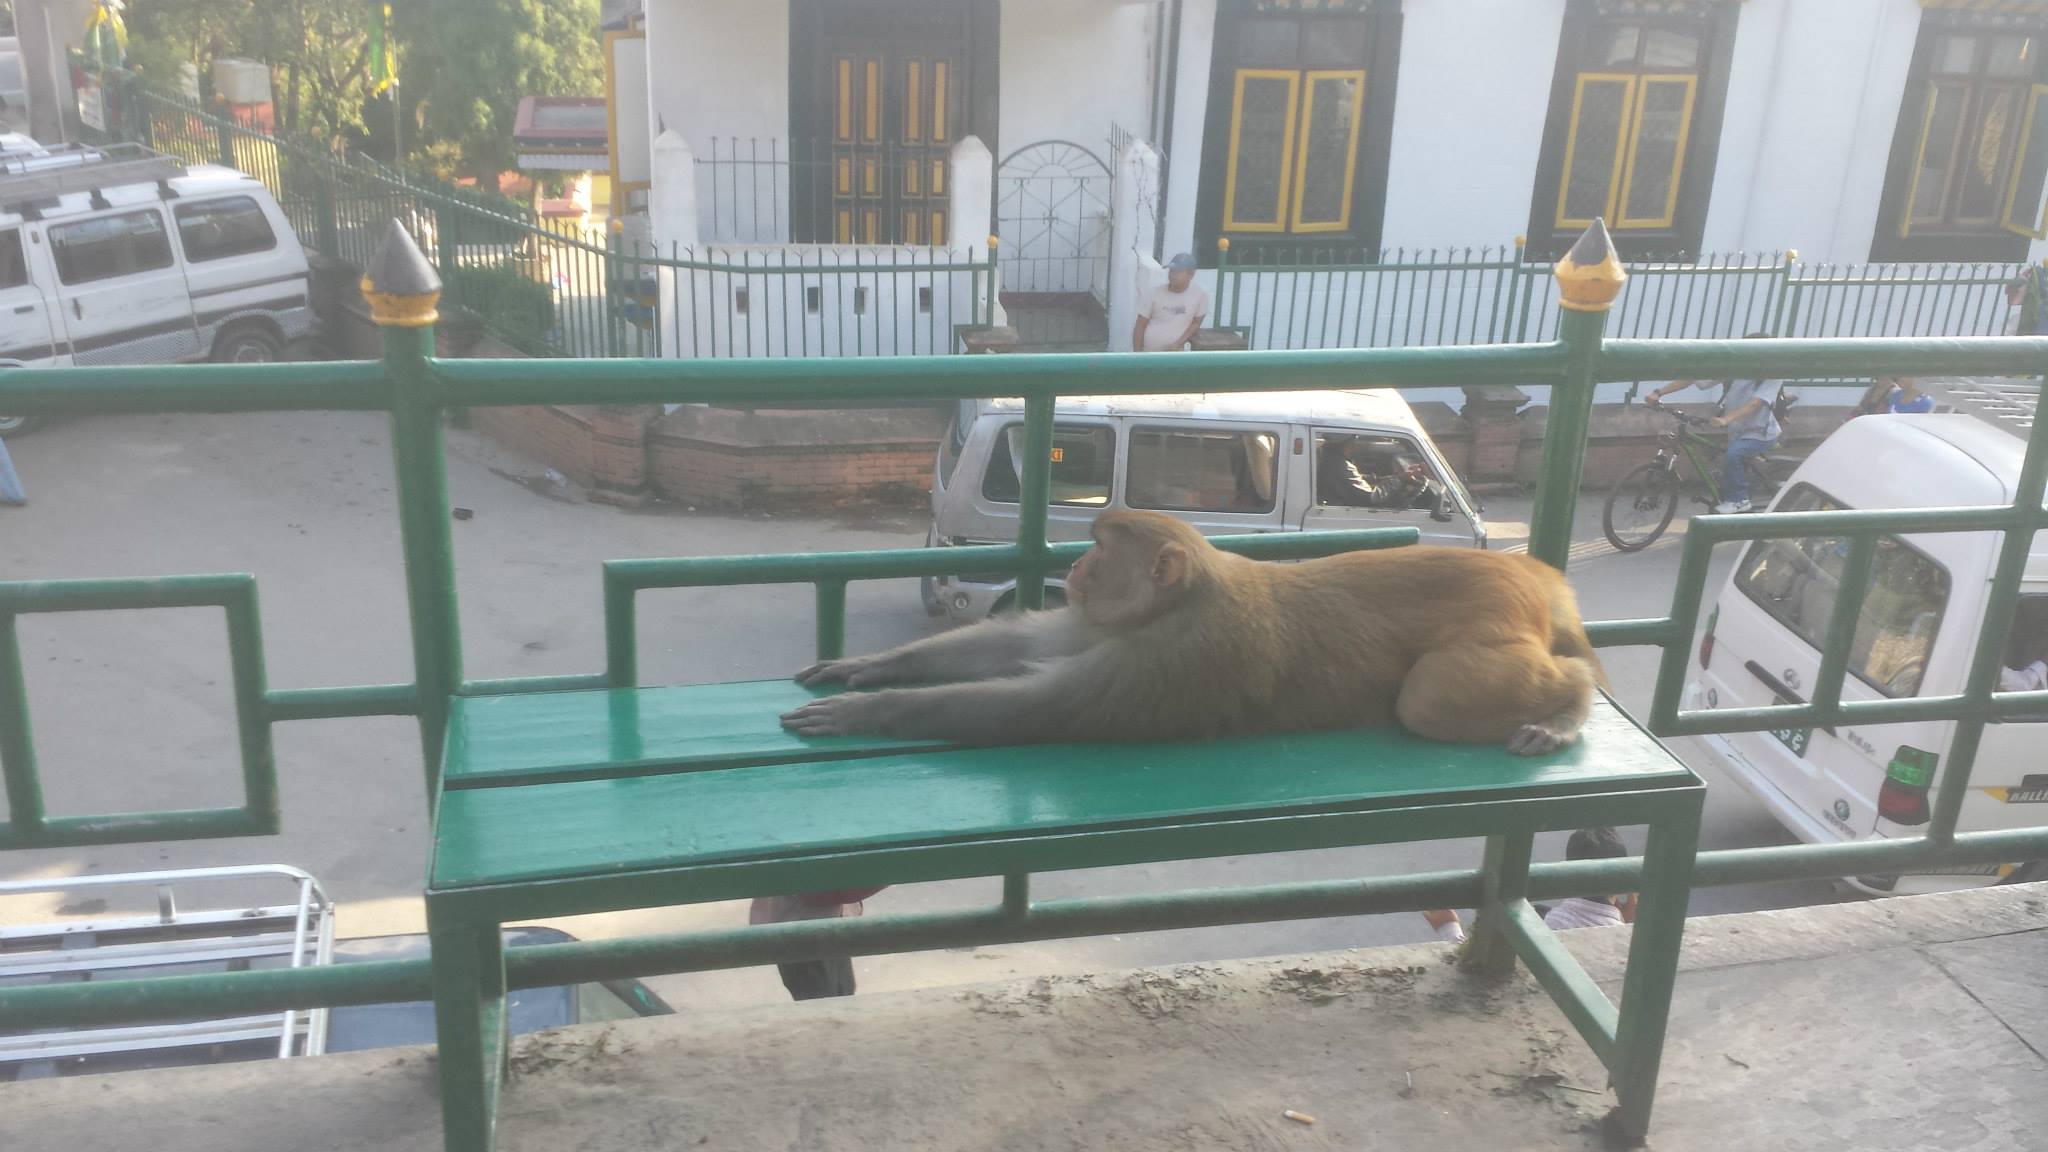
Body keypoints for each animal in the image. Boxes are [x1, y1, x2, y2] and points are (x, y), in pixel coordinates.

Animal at [780, 509, 1609, 756]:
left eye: (1102, 546)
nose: (1074, 565)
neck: (1178, 604)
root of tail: (1529, 575)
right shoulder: (1109, 625)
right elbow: (1020, 647)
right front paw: (874, 667)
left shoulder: (1174, 656)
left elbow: (1037, 705)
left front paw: (870, 711)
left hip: (1488, 637)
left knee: (1431, 697)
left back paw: (1567, 708)